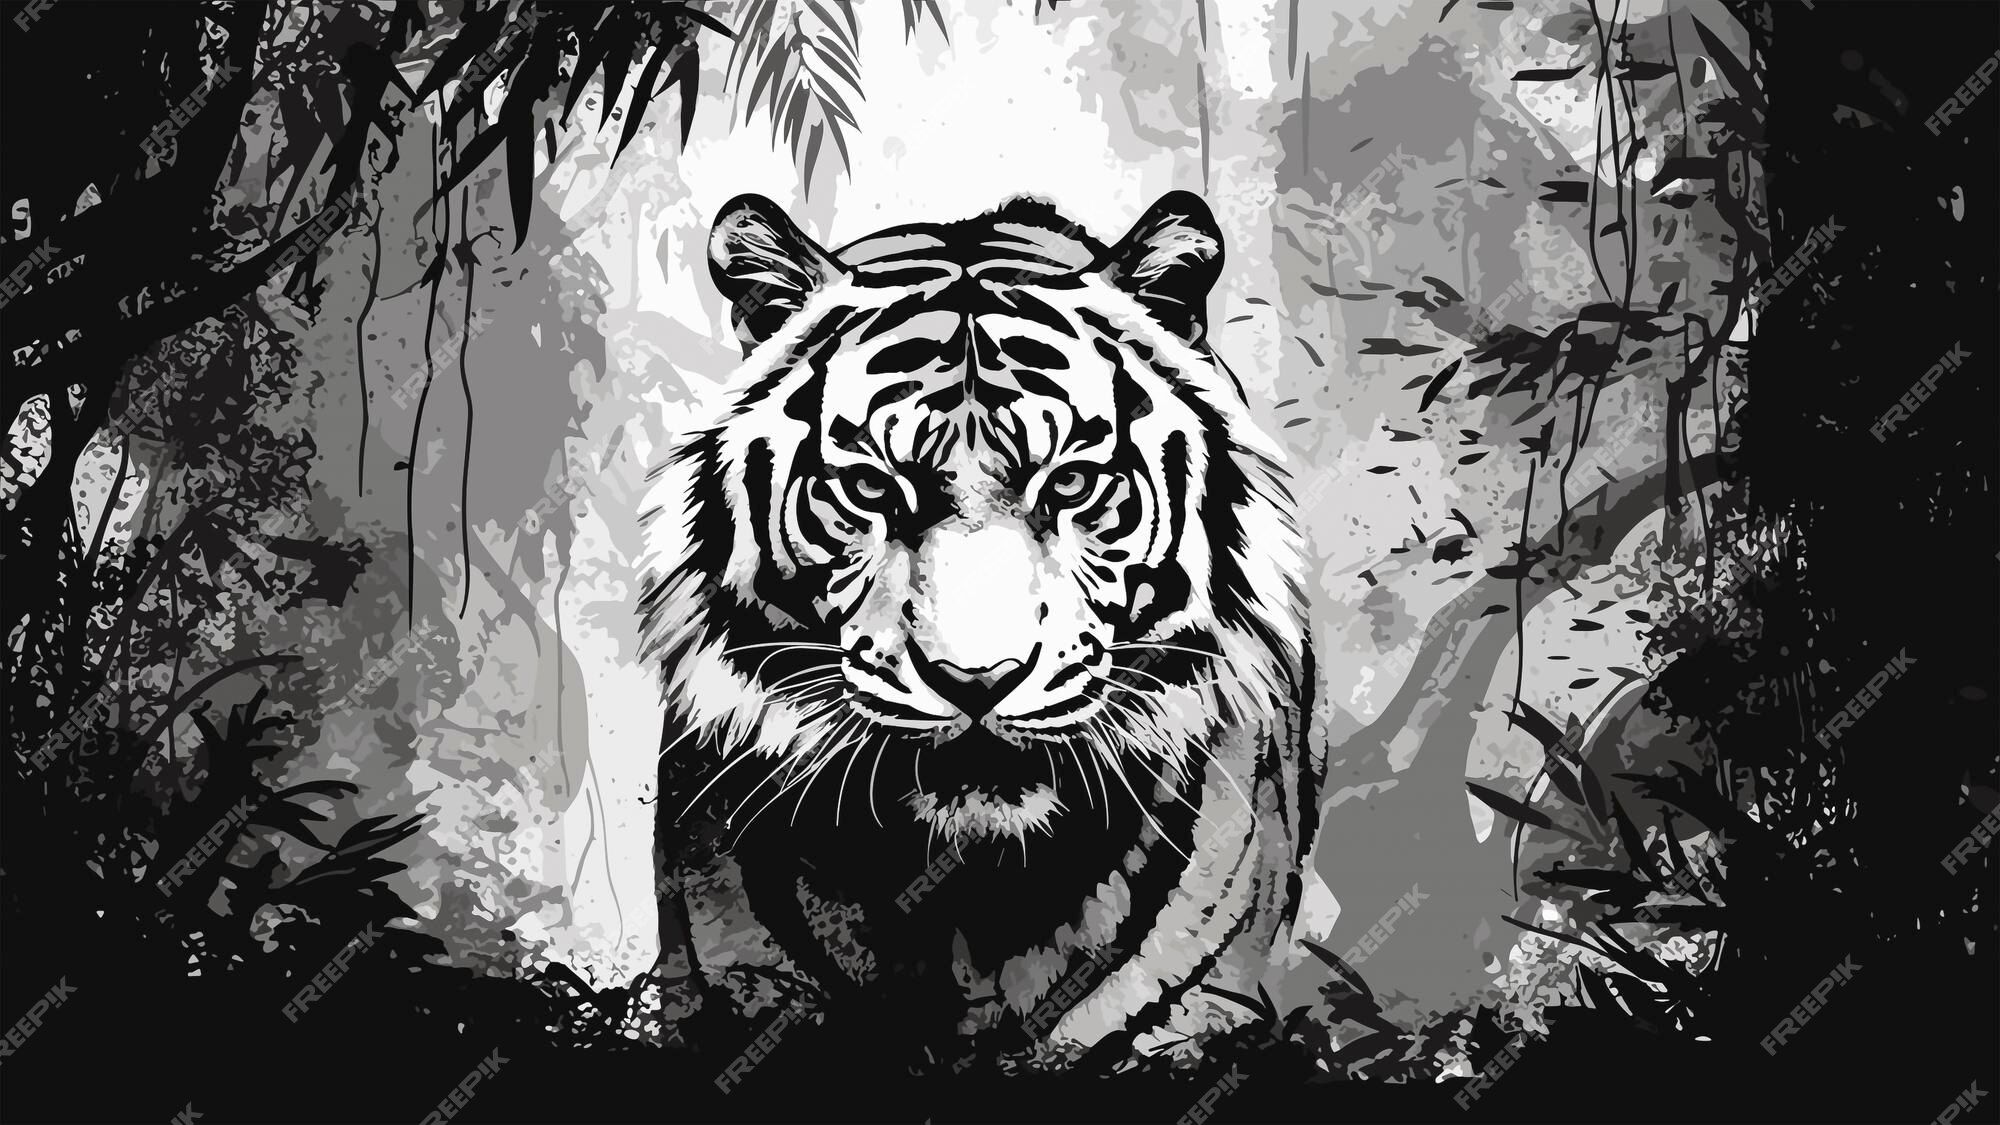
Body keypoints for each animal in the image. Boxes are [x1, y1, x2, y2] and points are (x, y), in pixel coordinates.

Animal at [637, 190, 1319, 1073]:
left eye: (1071, 482)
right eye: (870, 487)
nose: (977, 679)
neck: (963, 897)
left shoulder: (1196, 1015)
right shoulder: (731, 991)